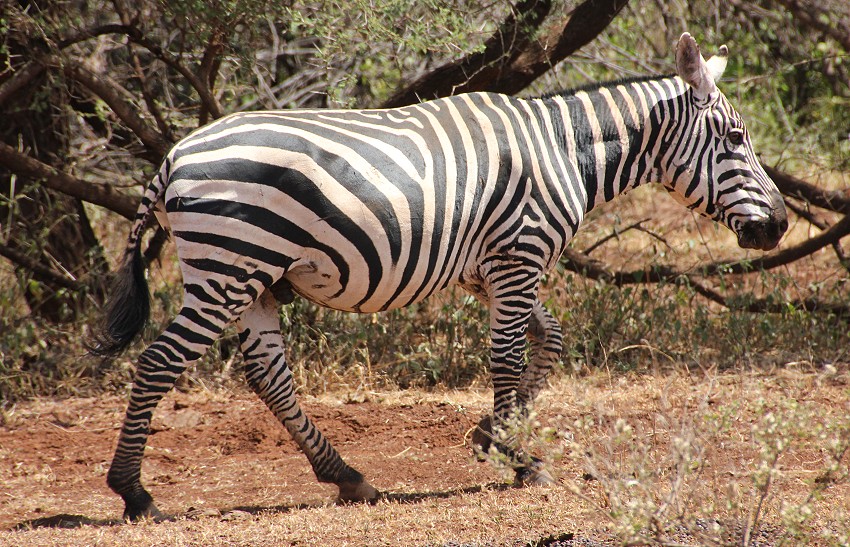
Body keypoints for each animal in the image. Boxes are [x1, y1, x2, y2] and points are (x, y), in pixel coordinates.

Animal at [89, 34, 784, 524]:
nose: (777, 226)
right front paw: (518, 459)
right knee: (160, 361)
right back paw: (135, 493)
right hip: (229, 267)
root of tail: (174, 155)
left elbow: (550, 340)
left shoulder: (492, 270)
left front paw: (492, 434)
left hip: (257, 278)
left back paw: (347, 477)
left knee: (268, 375)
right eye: (735, 138)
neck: (564, 149)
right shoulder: (519, 255)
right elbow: (507, 355)